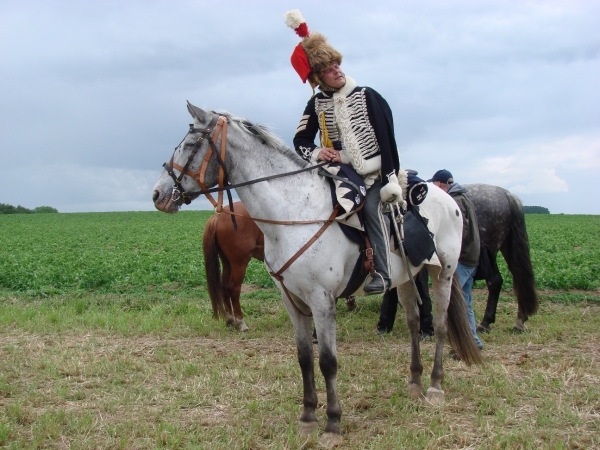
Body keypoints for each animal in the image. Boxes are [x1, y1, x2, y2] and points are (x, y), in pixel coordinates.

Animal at [203, 202, 264, 332]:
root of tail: (220, 216)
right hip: (239, 263)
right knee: (234, 289)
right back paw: (241, 322)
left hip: (227, 262)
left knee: (224, 286)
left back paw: (231, 319)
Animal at [464, 181, 540, 332]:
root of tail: (506, 194)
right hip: (508, 248)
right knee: (519, 279)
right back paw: (520, 320)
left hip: (489, 252)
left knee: (495, 281)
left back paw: (485, 322)